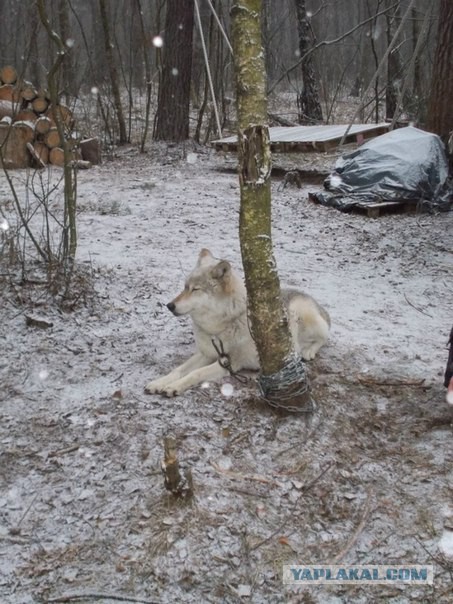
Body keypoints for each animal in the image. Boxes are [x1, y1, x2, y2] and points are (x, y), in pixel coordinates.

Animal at [145, 248, 328, 398]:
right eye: (185, 287)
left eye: (195, 289)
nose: (169, 305)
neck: (219, 327)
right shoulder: (206, 354)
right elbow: (179, 369)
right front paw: (159, 383)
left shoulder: (230, 363)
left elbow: (195, 374)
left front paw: (173, 387)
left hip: (300, 312)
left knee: (324, 338)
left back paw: (307, 352)